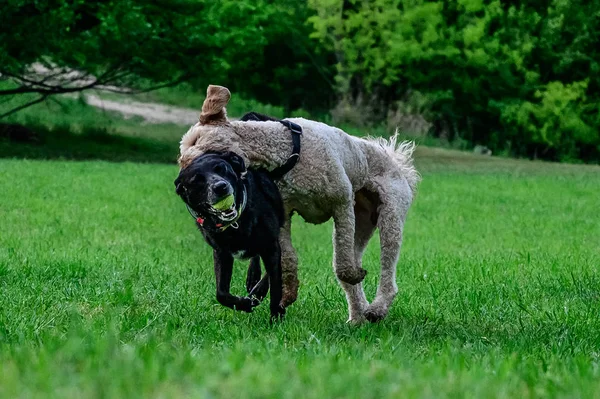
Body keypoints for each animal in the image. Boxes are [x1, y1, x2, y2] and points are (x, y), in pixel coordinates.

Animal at [173, 152, 286, 320]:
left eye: (221, 168)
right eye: (196, 180)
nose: (220, 187)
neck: (235, 223)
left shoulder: (271, 246)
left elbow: (275, 284)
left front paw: (275, 317)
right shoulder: (221, 252)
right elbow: (221, 294)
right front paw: (243, 304)